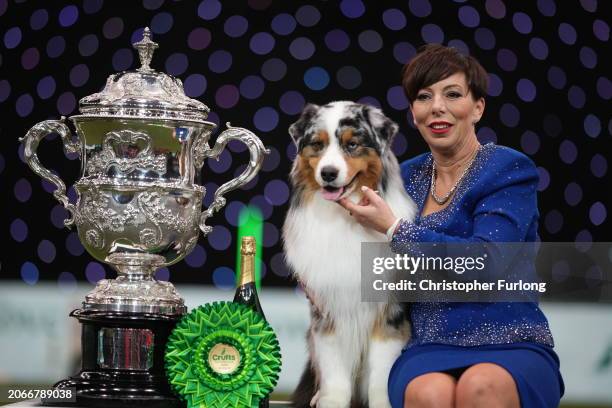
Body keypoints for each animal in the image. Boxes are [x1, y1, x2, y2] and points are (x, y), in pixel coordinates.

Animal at [282, 100, 416, 406]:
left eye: (352, 144)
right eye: (317, 145)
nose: (328, 173)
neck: (344, 218)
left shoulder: (388, 312)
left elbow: (382, 372)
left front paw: (382, 402)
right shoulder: (326, 307)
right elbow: (334, 369)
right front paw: (330, 401)